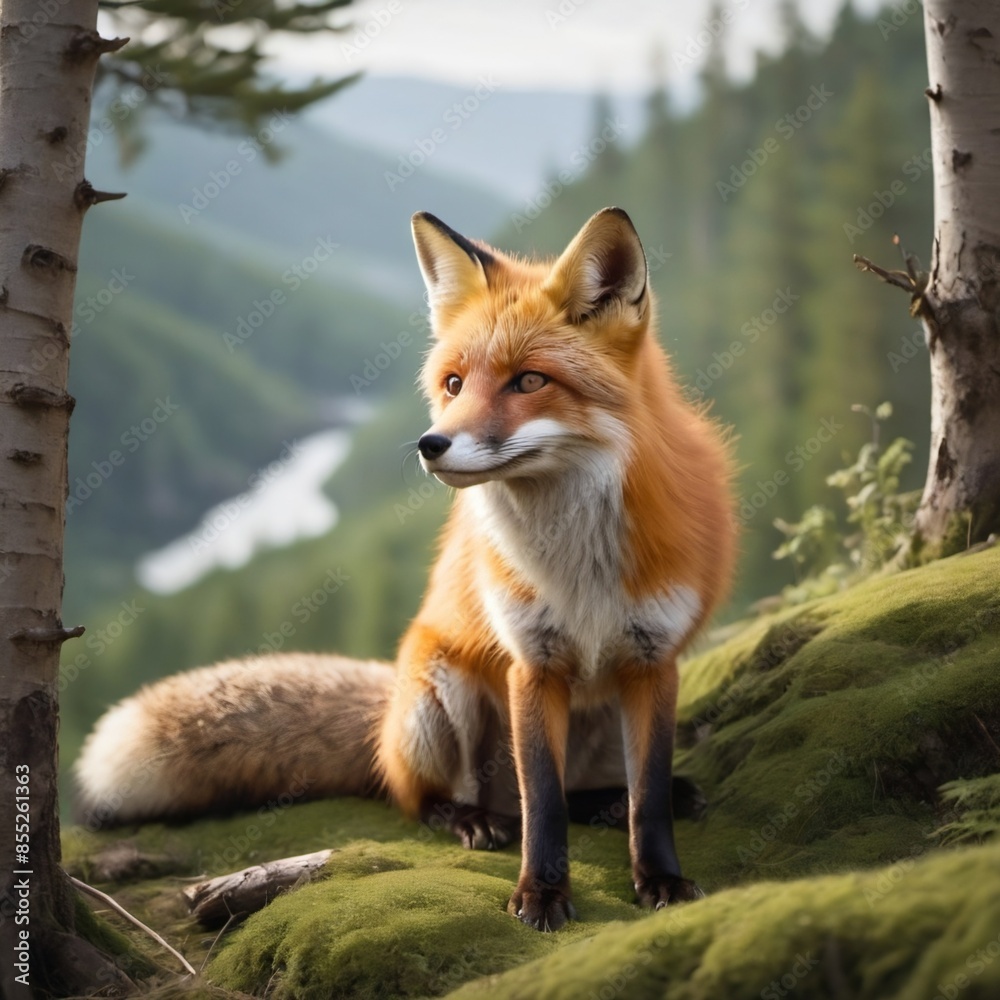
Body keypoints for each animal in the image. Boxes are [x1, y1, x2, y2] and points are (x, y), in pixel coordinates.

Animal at [75, 207, 736, 931]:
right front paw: (541, 893)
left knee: (582, 794)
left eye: (529, 381)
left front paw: (661, 878)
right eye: (453, 384)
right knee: (436, 799)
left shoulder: (653, 661)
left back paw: (618, 801)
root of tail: (385, 715)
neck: (576, 560)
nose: (430, 443)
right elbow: (542, 806)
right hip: (439, 693)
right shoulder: (531, 664)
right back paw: (468, 818)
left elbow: (645, 800)